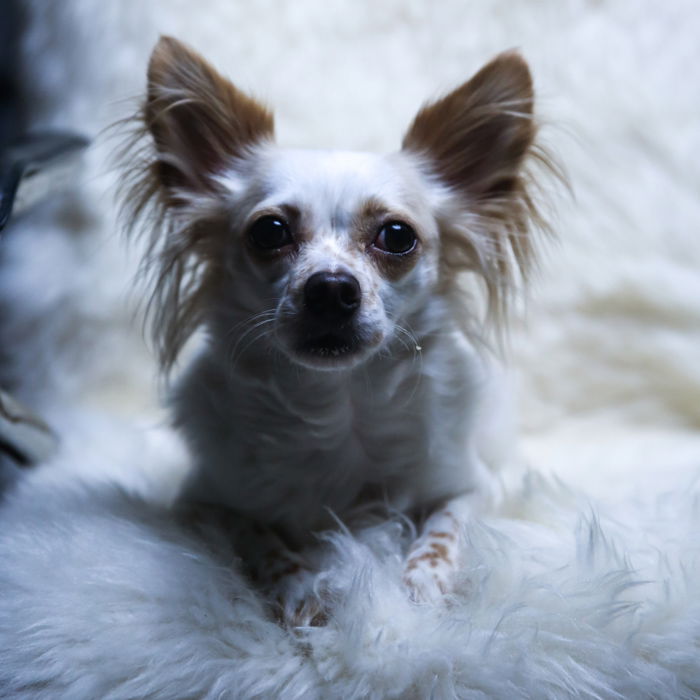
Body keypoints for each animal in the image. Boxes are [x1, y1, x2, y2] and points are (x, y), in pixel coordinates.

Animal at [124, 35, 548, 628]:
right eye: (269, 231)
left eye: (397, 235)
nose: (329, 288)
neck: (339, 404)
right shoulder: (203, 500)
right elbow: (259, 534)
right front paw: (306, 591)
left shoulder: (471, 486)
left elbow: (445, 528)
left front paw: (421, 587)